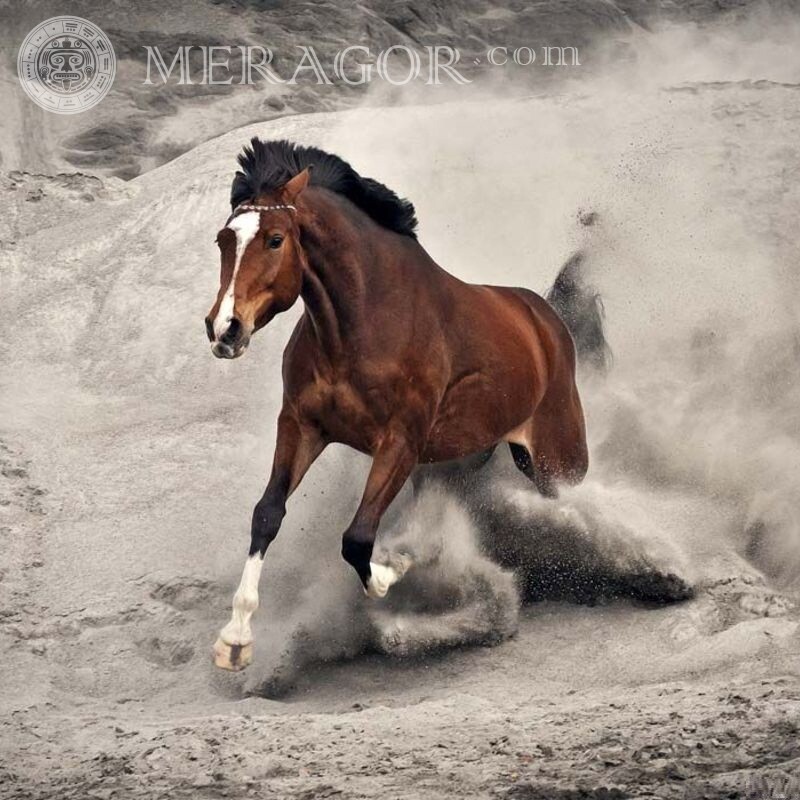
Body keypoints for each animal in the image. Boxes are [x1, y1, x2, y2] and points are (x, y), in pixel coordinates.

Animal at [203, 139, 604, 668]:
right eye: (222, 241)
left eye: (274, 239)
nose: (224, 330)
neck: (364, 322)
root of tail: (545, 319)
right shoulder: (302, 426)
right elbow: (267, 514)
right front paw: (236, 639)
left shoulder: (400, 444)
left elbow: (358, 540)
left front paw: (399, 563)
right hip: (466, 457)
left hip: (558, 459)